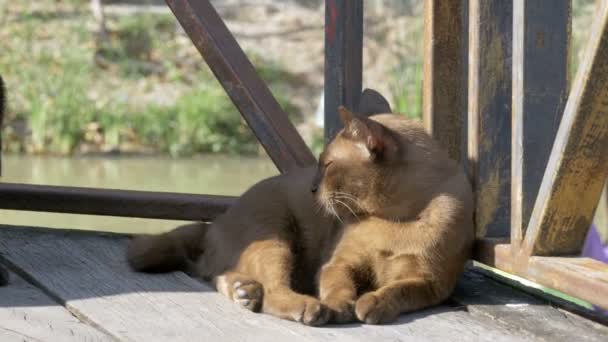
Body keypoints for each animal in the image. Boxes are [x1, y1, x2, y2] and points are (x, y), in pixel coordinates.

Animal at [126, 105, 472, 324]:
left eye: (328, 165)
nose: (312, 188)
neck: (396, 221)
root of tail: (218, 220)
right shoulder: (340, 264)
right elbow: (338, 288)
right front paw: (341, 307)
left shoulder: (431, 284)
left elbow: (397, 290)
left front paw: (371, 303)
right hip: (277, 240)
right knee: (273, 290)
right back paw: (306, 307)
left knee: (223, 276)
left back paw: (245, 293)